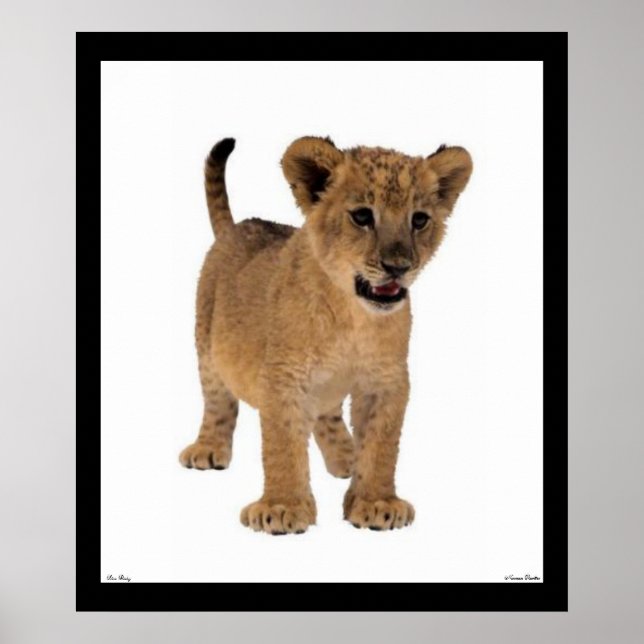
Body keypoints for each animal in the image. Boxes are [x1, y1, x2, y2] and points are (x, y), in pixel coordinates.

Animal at [179, 136, 472, 534]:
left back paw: (346, 458)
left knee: (327, 414)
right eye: (362, 216)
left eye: (419, 220)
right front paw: (282, 508)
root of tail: (237, 227)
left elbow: (381, 445)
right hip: (206, 343)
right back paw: (208, 448)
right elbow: (282, 445)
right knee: (217, 400)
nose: (398, 267)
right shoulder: (282, 377)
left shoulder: (386, 379)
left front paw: (376, 502)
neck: (352, 316)